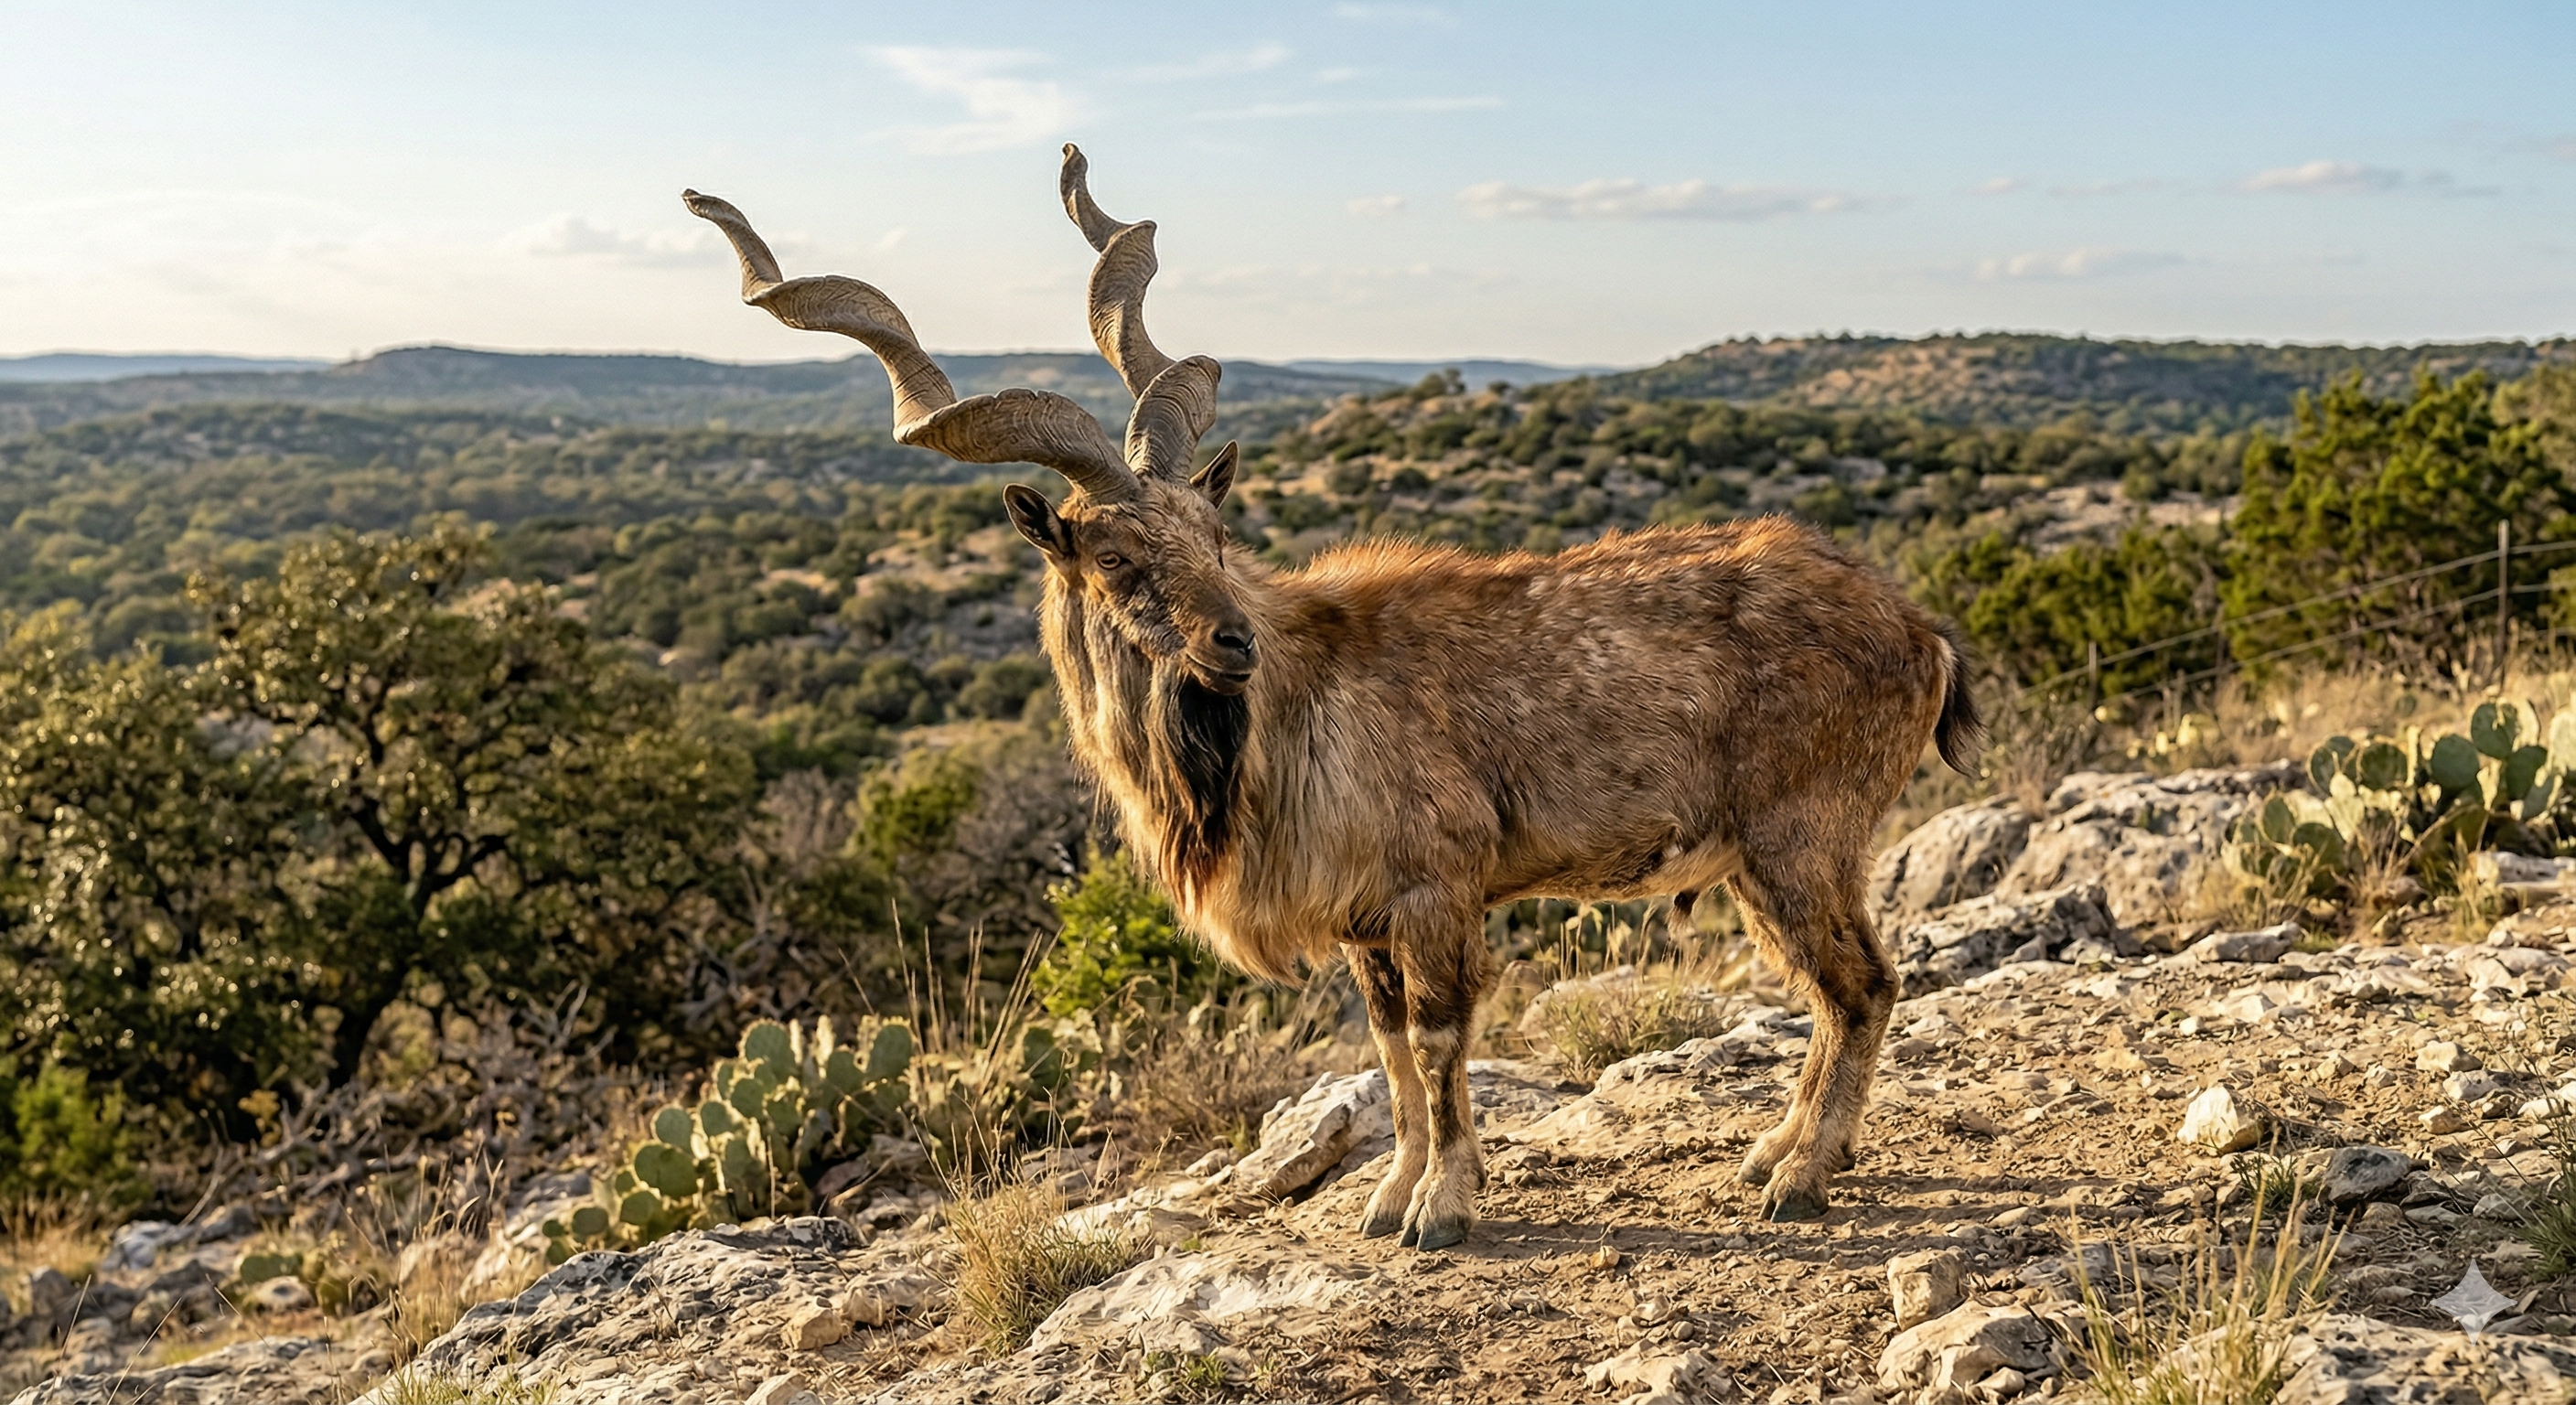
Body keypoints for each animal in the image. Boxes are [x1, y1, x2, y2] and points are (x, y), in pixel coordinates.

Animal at [681, 146, 1979, 1249]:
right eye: (1117, 556)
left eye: (1212, 530)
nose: (1232, 642)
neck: (1286, 719)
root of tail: (1919, 630)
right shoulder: (1366, 927)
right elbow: (1394, 1057)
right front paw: (1388, 1198)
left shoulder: (1437, 892)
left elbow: (1444, 1046)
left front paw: (1442, 1212)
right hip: (1764, 860)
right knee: (1838, 990)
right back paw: (1777, 1153)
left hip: (1797, 837)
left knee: (1862, 983)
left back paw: (1797, 1177)